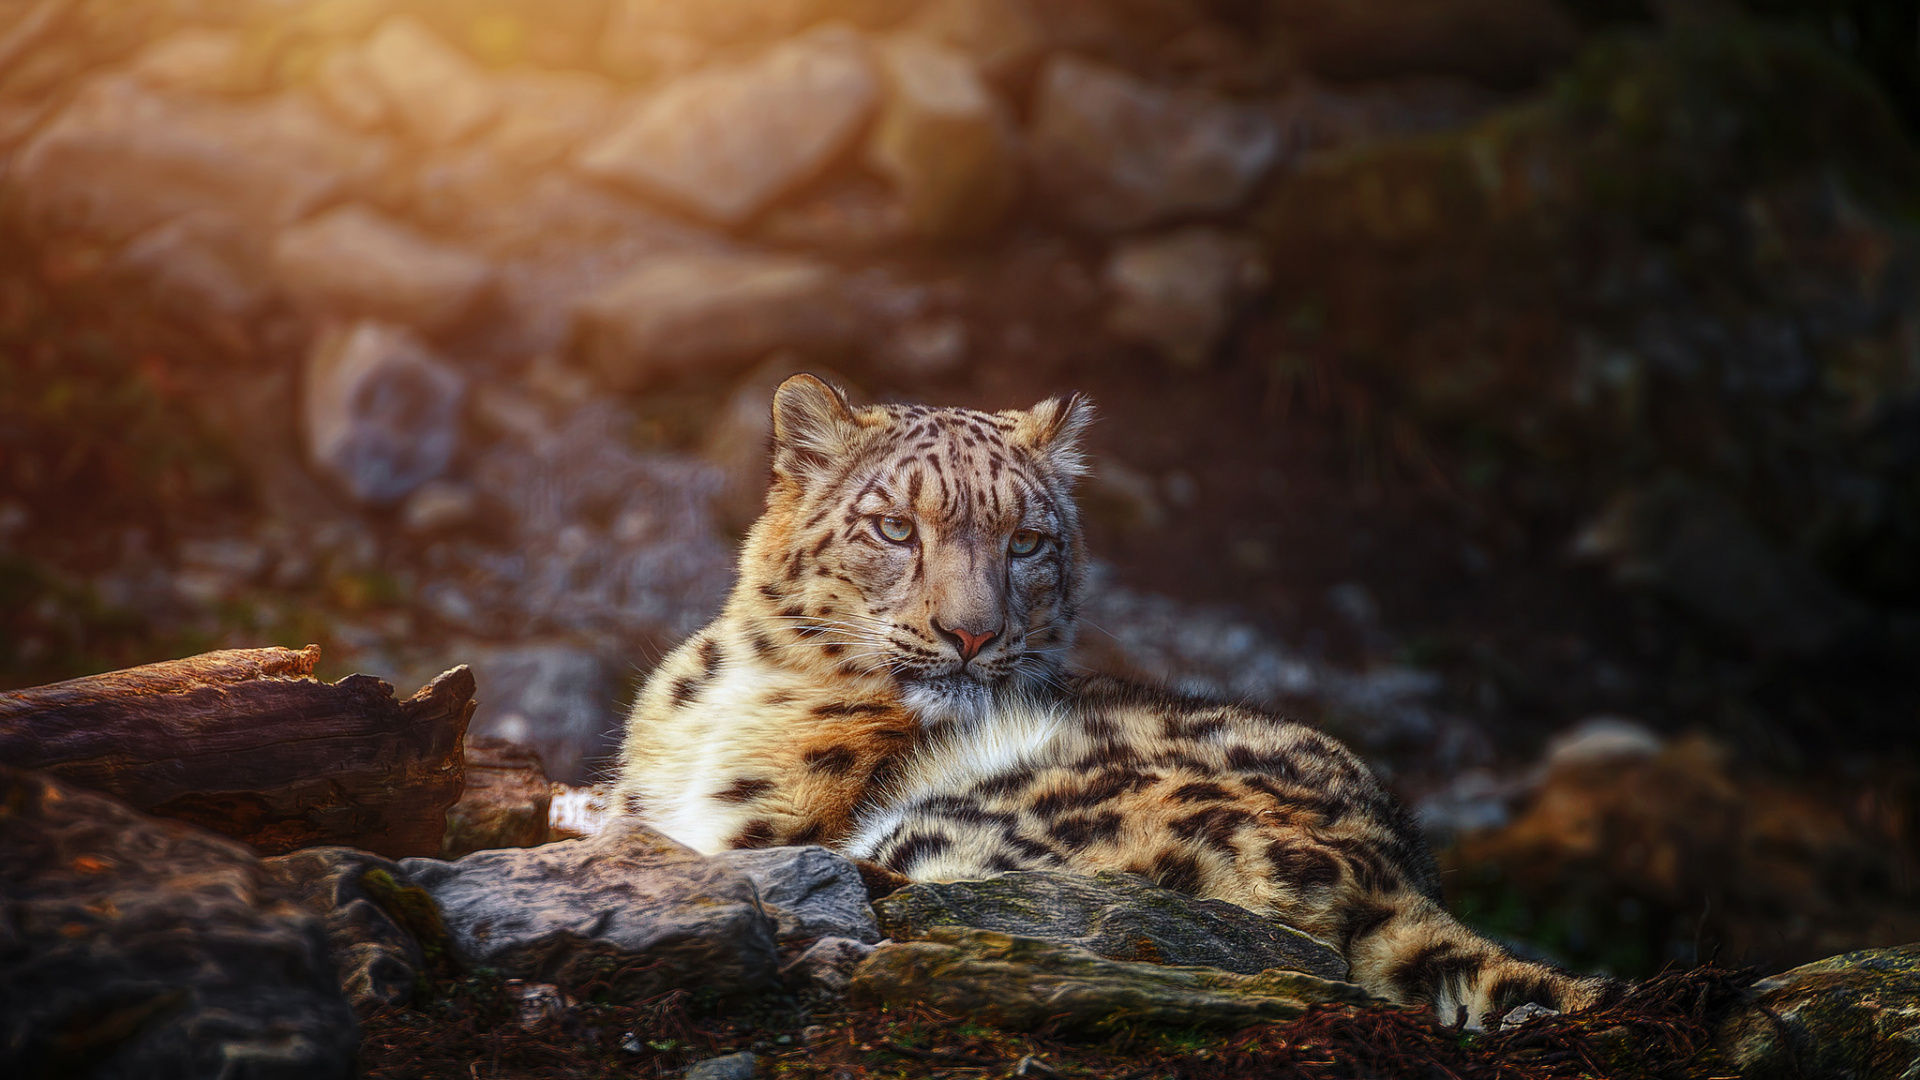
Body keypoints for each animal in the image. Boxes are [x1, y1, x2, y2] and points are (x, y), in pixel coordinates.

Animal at [612, 373, 1618, 1028]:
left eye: (1027, 541)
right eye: (894, 527)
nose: (970, 634)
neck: (733, 689)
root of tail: (1399, 881)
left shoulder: (770, 823)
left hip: (972, 825)